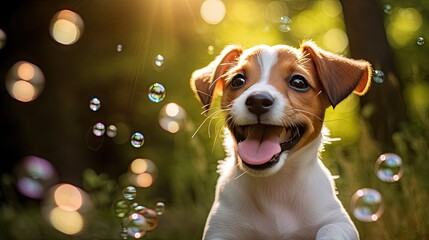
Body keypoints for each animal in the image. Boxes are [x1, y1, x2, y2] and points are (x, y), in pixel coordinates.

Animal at [189, 41, 370, 240]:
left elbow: (331, 229)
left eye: (298, 82)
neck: (273, 186)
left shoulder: (337, 220)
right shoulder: (221, 228)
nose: (258, 100)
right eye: (238, 80)